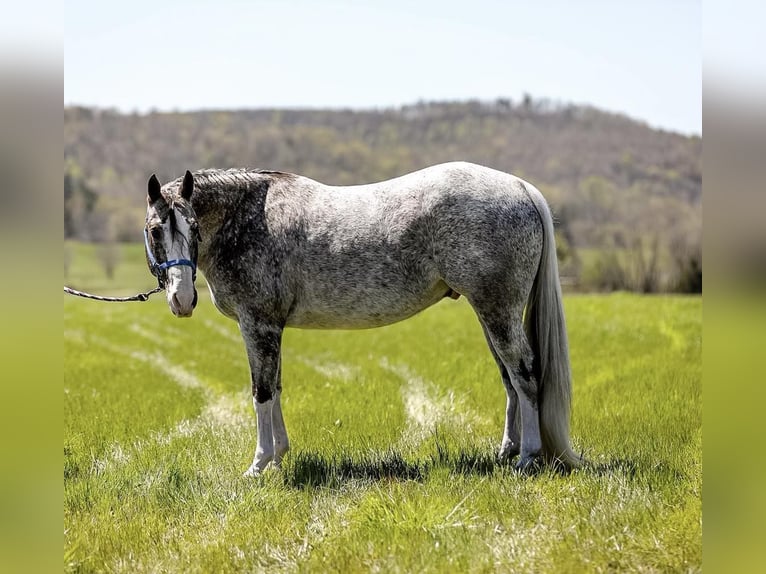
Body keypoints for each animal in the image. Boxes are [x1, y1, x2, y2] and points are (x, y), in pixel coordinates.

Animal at [146, 161, 584, 476]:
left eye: (195, 227)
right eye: (154, 231)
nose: (182, 300)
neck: (249, 217)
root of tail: (520, 187)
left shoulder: (258, 324)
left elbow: (262, 392)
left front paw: (259, 465)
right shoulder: (271, 327)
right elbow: (278, 388)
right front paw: (280, 456)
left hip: (498, 310)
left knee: (525, 373)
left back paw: (528, 458)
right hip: (489, 313)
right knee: (509, 378)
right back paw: (507, 452)